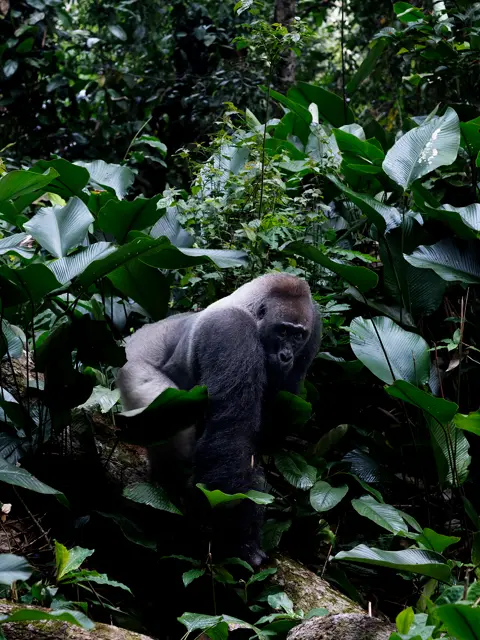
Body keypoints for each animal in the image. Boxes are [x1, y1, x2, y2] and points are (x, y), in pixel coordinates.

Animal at [116, 273, 322, 567]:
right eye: (282, 331)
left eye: (298, 335)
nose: (286, 356)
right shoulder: (232, 332)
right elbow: (231, 436)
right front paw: (237, 536)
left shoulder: (313, 329)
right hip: (134, 369)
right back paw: (168, 490)